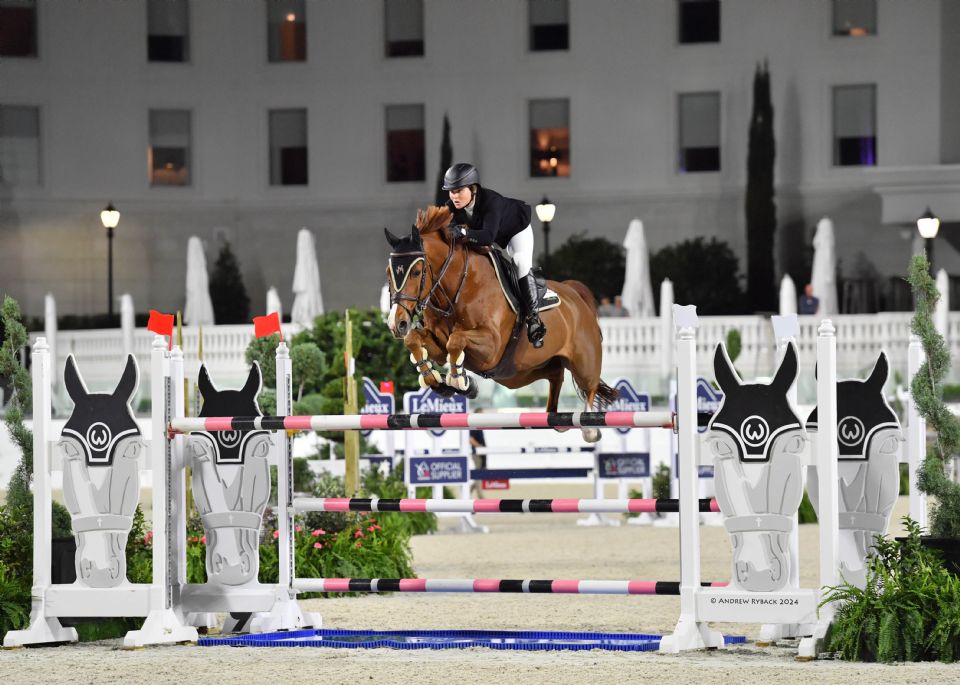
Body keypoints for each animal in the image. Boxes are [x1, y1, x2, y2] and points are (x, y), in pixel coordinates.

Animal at [386, 203, 620, 440]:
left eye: (416, 272)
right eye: (389, 273)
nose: (397, 324)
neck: (458, 290)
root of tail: (575, 293)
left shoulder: (491, 346)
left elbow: (456, 340)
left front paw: (460, 380)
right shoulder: (440, 345)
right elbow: (416, 340)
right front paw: (438, 380)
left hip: (583, 363)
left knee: (589, 386)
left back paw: (589, 429)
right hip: (518, 372)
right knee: (555, 375)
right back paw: (555, 417)